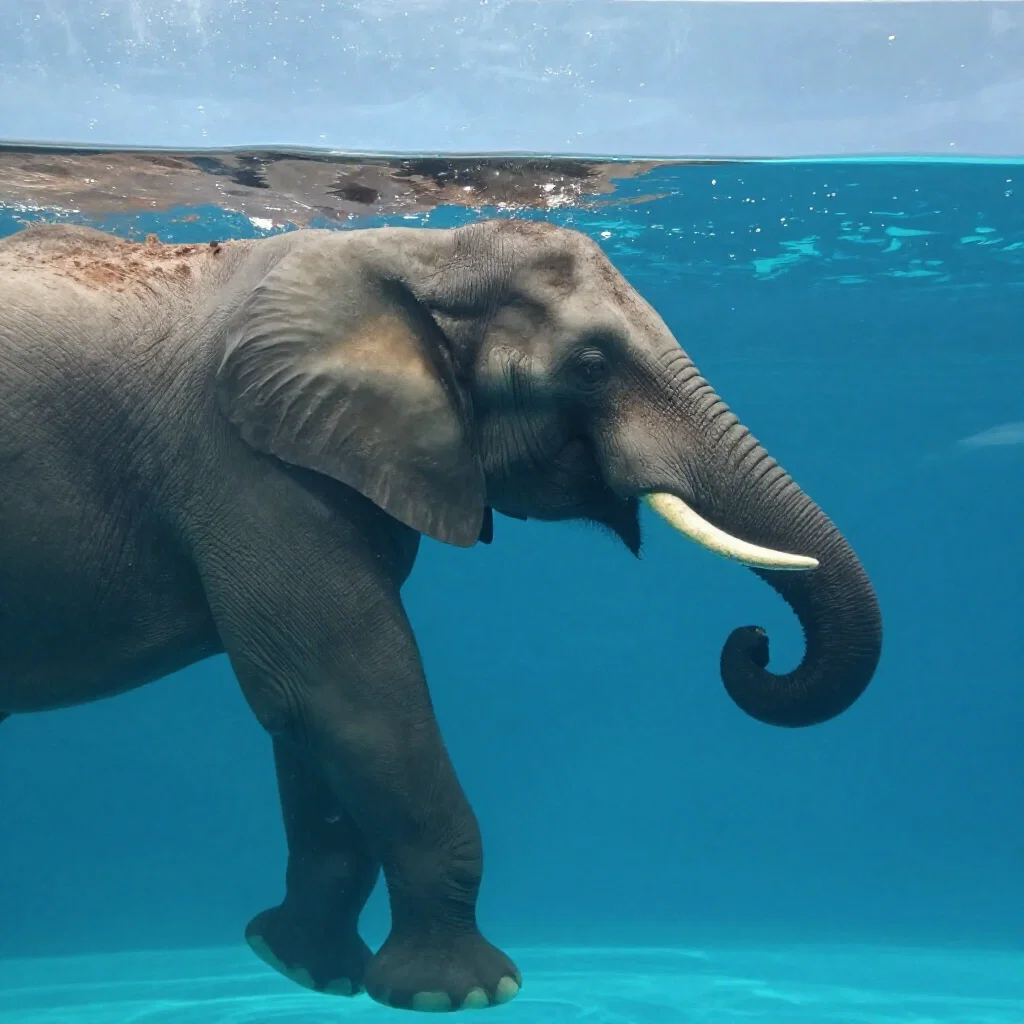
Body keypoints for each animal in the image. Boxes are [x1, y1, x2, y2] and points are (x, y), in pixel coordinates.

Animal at [0, 219, 882, 1012]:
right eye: (592, 367)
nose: (754, 640)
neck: (421, 252)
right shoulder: (248, 464)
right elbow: (343, 690)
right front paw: (459, 992)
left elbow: (311, 723)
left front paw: (303, 969)